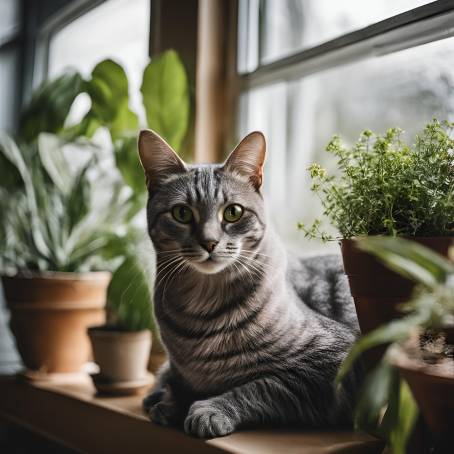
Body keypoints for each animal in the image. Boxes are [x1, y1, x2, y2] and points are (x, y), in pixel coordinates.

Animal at [137, 129, 360, 438]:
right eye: (182, 213)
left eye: (233, 212)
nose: (209, 242)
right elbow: (177, 381)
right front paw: (169, 401)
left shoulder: (331, 363)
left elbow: (260, 387)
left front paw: (210, 410)